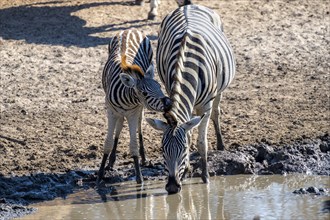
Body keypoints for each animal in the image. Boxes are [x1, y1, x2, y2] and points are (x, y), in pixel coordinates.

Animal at [97, 28, 170, 185]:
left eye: (159, 86)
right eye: (144, 92)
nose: (169, 103)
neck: (126, 98)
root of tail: (130, 29)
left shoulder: (133, 112)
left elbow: (134, 145)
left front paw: (139, 178)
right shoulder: (111, 111)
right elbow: (108, 142)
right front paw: (100, 174)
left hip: (138, 109)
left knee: (139, 125)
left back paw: (143, 158)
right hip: (118, 112)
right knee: (119, 124)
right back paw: (111, 161)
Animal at [146, 4, 235, 194]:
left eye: (184, 149)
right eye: (162, 150)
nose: (172, 187)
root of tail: (189, 5)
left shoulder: (206, 105)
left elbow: (202, 143)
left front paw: (205, 176)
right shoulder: (169, 89)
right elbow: (187, 129)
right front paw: (186, 170)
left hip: (218, 90)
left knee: (216, 112)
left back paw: (221, 144)